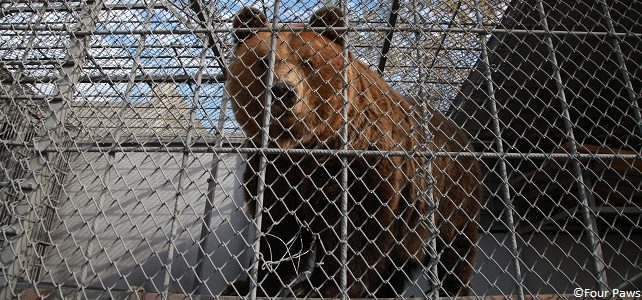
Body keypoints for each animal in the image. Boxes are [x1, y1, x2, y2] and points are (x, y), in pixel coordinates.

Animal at [225, 5, 480, 298]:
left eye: (307, 61)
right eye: (263, 62)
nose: (283, 91)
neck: (306, 145)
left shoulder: (365, 161)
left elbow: (359, 229)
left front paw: (322, 287)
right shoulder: (275, 168)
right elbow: (278, 229)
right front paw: (246, 285)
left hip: (452, 192)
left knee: (456, 250)